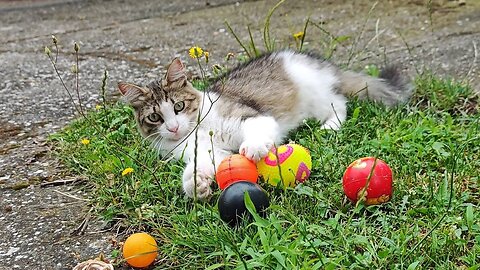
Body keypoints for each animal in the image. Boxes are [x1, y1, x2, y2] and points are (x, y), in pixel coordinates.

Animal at [117, 49, 412, 199]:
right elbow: (199, 166)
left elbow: (256, 132)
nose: (173, 127)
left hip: (315, 95)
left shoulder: (249, 116)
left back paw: (330, 126)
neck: (195, 129)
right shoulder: (207, 152)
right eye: (155, 117)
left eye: (178, 106)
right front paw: (196, 185)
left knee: (339, 103)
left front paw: (255, 147)